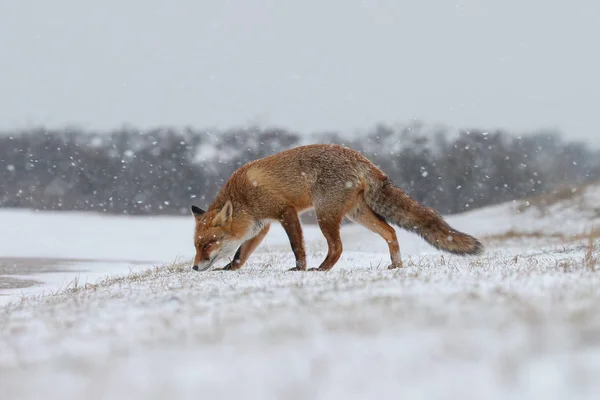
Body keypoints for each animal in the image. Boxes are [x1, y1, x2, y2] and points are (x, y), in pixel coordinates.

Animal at [190, 144, 486, 272]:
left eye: (208, 244)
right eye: (196, 245)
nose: (193, 268)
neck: (244, 197)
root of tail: (363, 159)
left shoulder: (286, 212)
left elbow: (297, 247)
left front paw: (299, 269)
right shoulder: (261, 226)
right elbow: (241, 253)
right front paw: (230, 269)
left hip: (324, 214)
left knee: (338, 247)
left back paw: (321, 269)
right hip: (358, 214)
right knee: (390, 232)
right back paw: (396, 265)